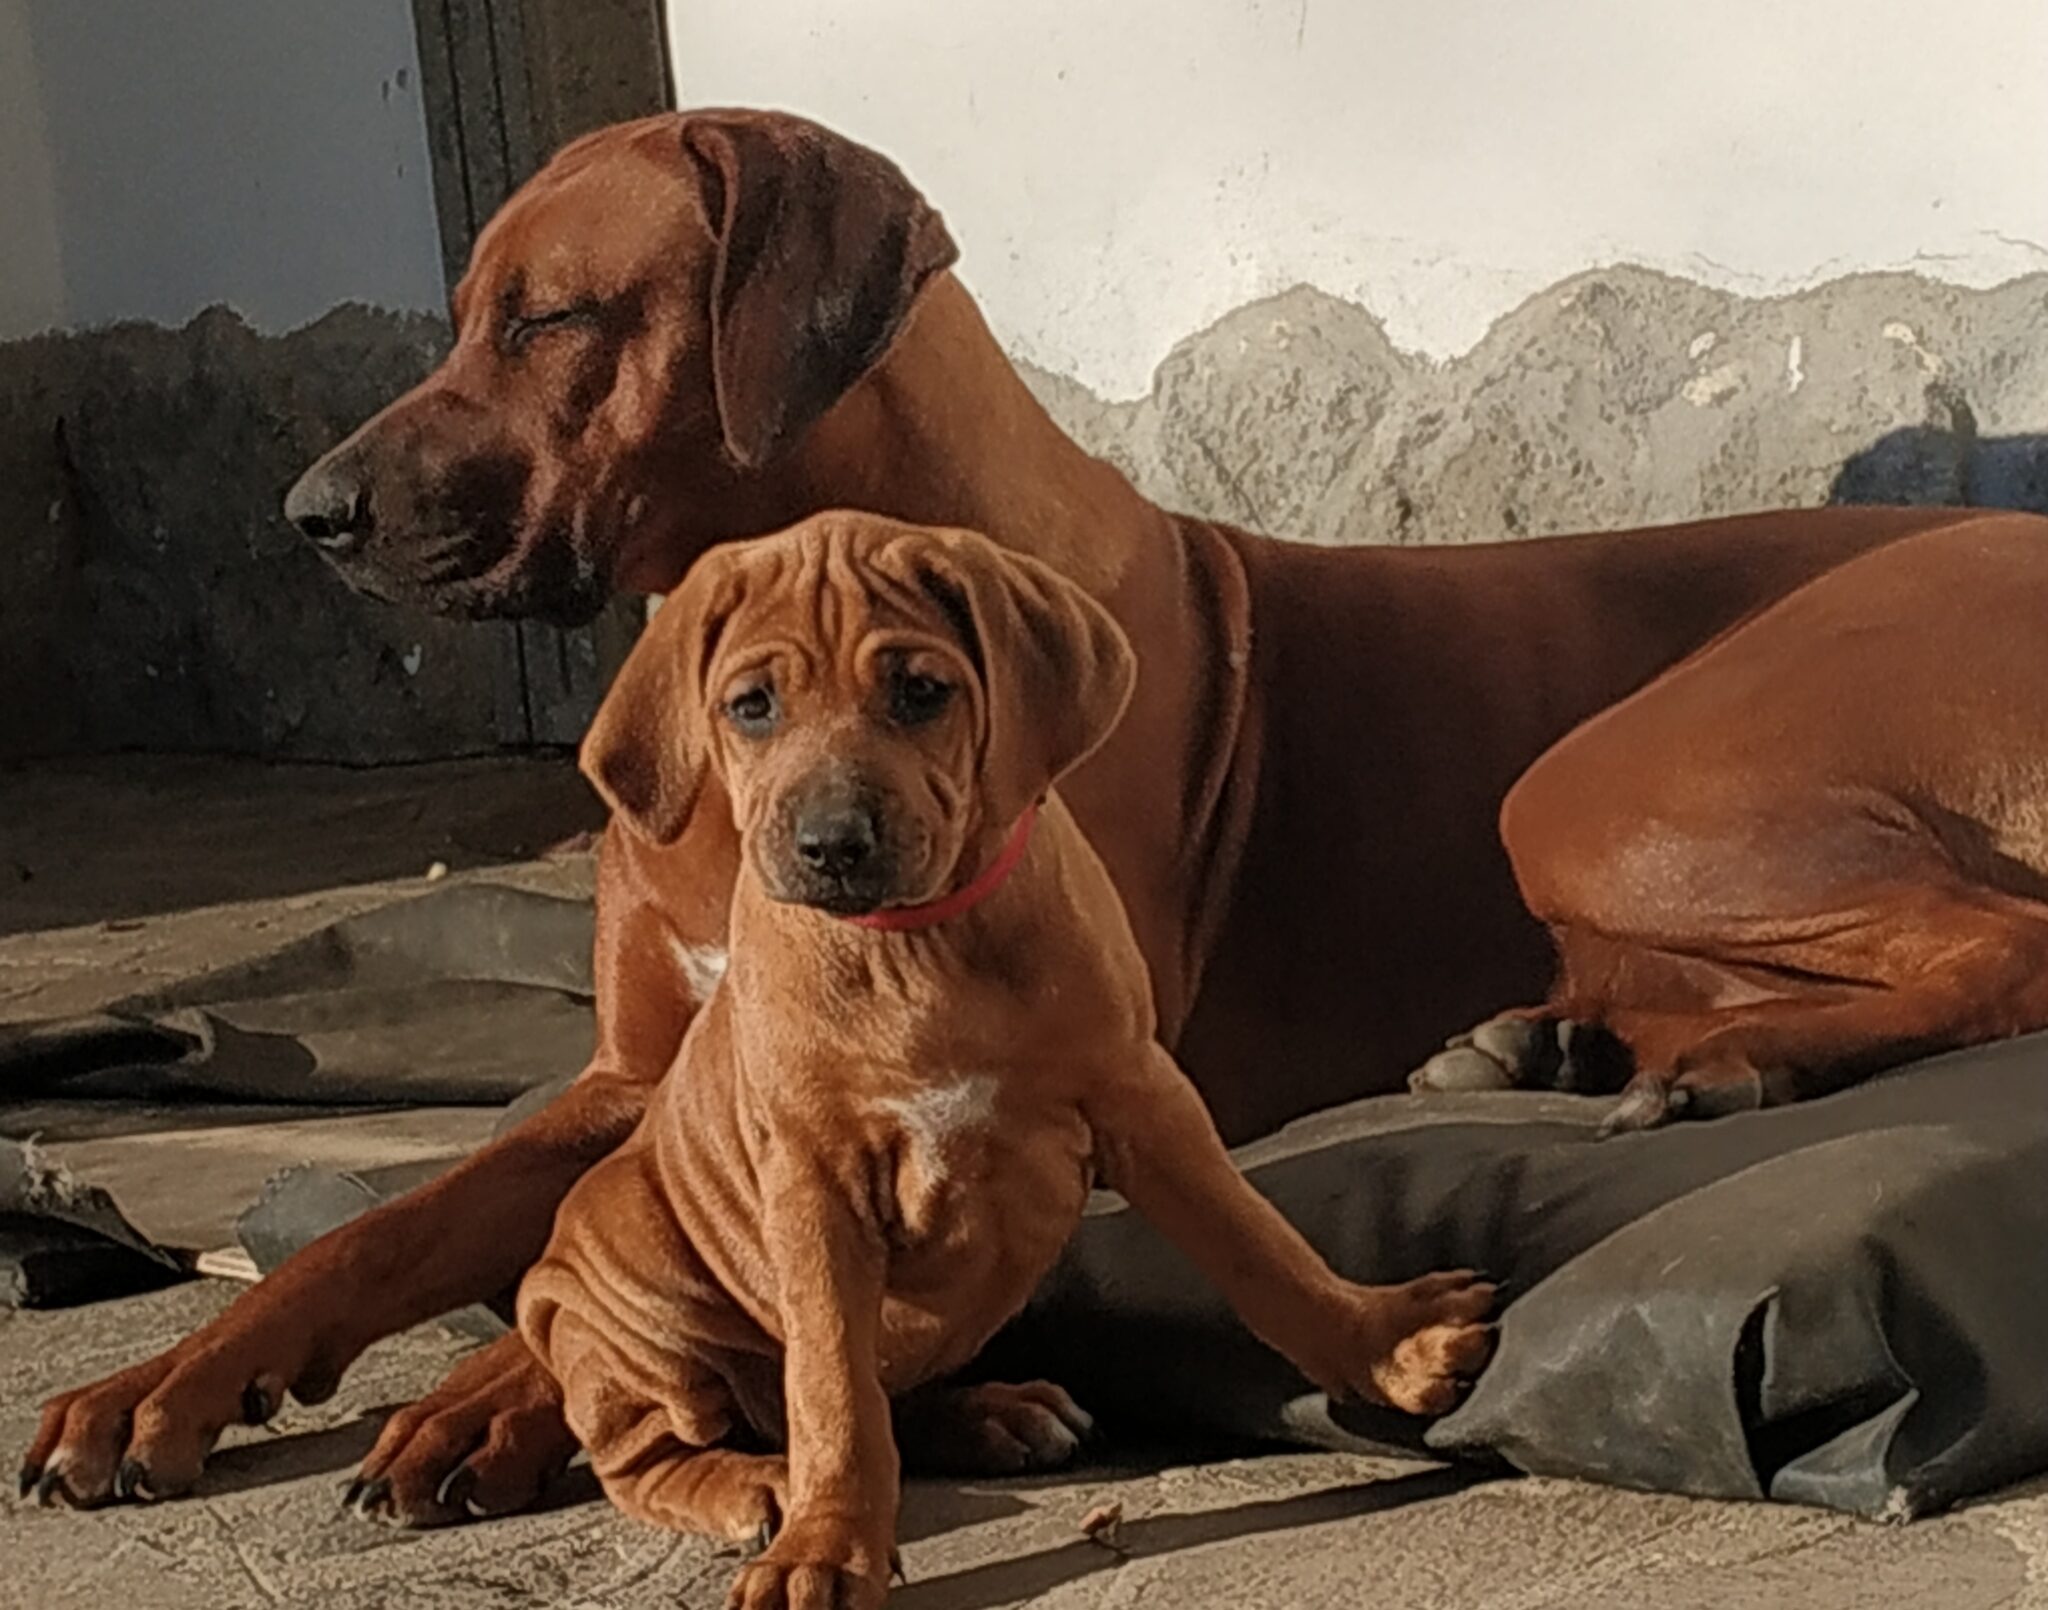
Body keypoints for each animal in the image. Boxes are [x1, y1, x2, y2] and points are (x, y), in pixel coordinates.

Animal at [524, 507, 1490, 1597]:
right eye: (751, 706)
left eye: (920, 691)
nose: (831, 844)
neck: (913, 941)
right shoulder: (810, 1180)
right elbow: (831, 1384)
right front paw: (824, 1542)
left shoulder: (1144, 1097)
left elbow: (1262, 1248)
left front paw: (1384, 1343)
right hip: (627, 1282)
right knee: (660, 1449)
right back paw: (757, 1484)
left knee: (885, 1394)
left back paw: (990, 1414)